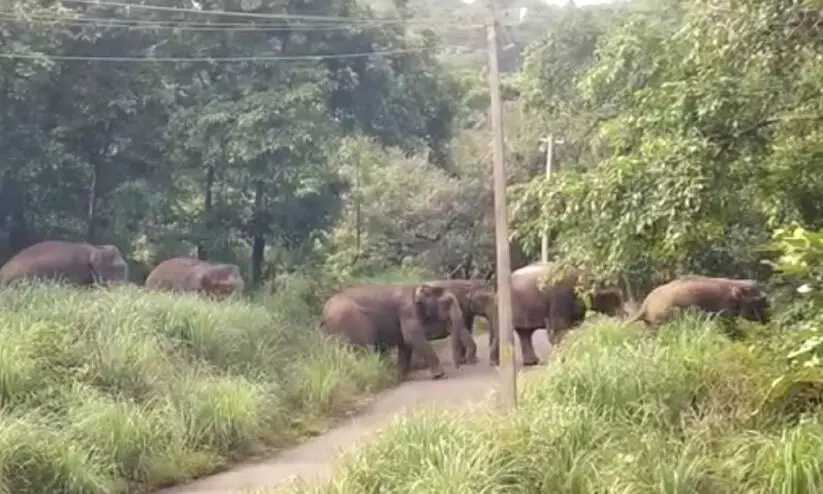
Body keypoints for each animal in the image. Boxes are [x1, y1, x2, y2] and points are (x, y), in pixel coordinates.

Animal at [320, 283, 478, 380]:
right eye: (447, 303)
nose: (459, 365)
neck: (417, 287)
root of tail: (325, 311)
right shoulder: (407, 311)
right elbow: (412, 338)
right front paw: (440, 375)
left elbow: (405, 345)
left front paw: (401, 377)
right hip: (351, 323)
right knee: (363, 350)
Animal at [626, 275, 770, 336]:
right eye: (762, 299)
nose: (768, 320)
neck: (734, 283)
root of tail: (645, 305)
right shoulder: (724, 307)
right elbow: (729, 327)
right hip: (664, 316)